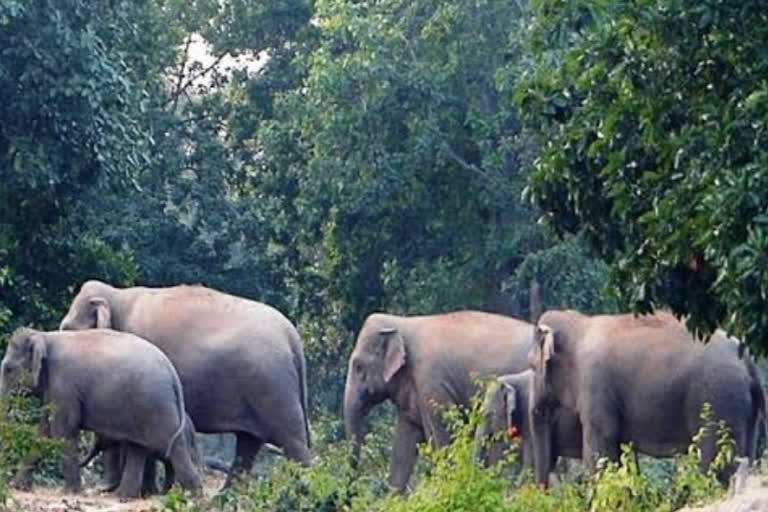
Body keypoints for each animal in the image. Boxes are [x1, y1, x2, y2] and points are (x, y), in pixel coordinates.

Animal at [0, 328, 202, 500]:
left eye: (8, 369)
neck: (44, 336)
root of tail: (171, 371)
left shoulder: (63, 385)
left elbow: (63, 430)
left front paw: (71, 492)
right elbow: (44, 432)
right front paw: (18, 486)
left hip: (155, 405)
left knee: (173, 446)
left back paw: (193, 498)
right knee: (138, 447)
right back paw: (125, 497)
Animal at [60, 280, 310, 488]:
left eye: (67, 330)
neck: (115, 295)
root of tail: (292, 336)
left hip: (273, 384)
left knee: (291, 439)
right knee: (248, 442)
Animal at [528, 310, 768, 486]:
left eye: (531, 366)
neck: (579, 324)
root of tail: (748, 361)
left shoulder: (594, 384)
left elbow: (601, 446)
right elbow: (621, 451)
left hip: (717, 398)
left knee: (713, 459)